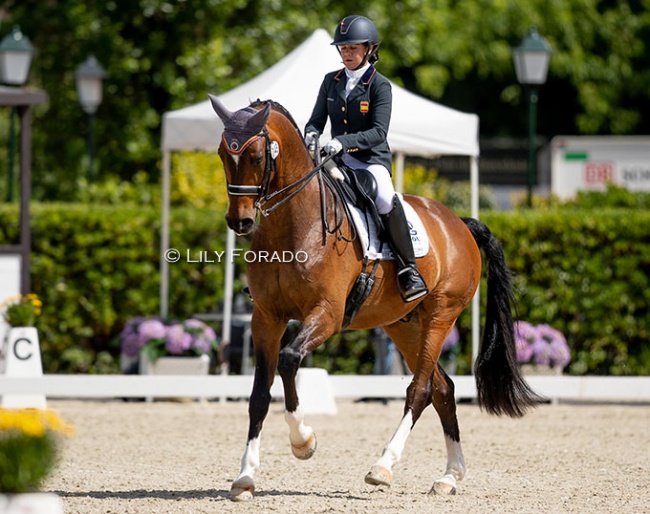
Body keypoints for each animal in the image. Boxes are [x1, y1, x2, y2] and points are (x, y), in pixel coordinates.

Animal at [210, 94, 540, 498]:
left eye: (257, 156)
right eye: (222, 154)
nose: (239, 222)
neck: (291, 225)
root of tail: (459, 223)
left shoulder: (327, 314)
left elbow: (288, 361)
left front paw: (304, 442)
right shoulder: (266, 318)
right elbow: (259, 395)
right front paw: (245, 477)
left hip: (441, 314)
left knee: (421, 390)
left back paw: (383, 467)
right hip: (404, 324)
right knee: (443, 389)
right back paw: (449, 477)